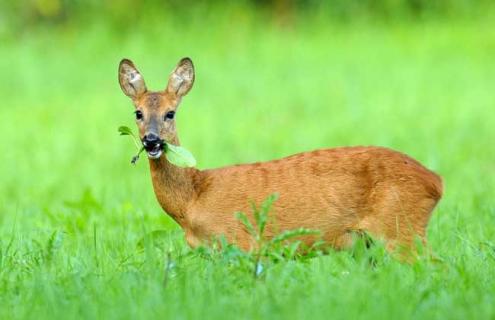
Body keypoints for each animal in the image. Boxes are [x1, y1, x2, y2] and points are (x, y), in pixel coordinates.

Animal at [118, 57, 444, 258]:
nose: (151, 141)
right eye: (138, 113)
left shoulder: (241, 244)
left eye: (170, 113)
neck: (193, 200)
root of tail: (435, 182)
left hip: (400, 227)